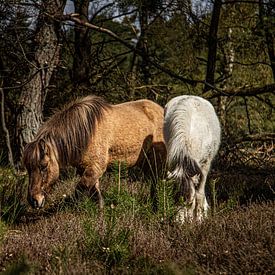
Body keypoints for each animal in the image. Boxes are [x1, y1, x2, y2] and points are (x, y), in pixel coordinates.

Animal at [22, 95, 166, 209]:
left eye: (43, 166)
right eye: (28, 168)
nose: (33, 201)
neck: (86, 132)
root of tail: (162, 110)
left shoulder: (96, 168)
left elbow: (79, 191)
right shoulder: (87, 170)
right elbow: (95, 193)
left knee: (157, 182)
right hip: (144, 162)